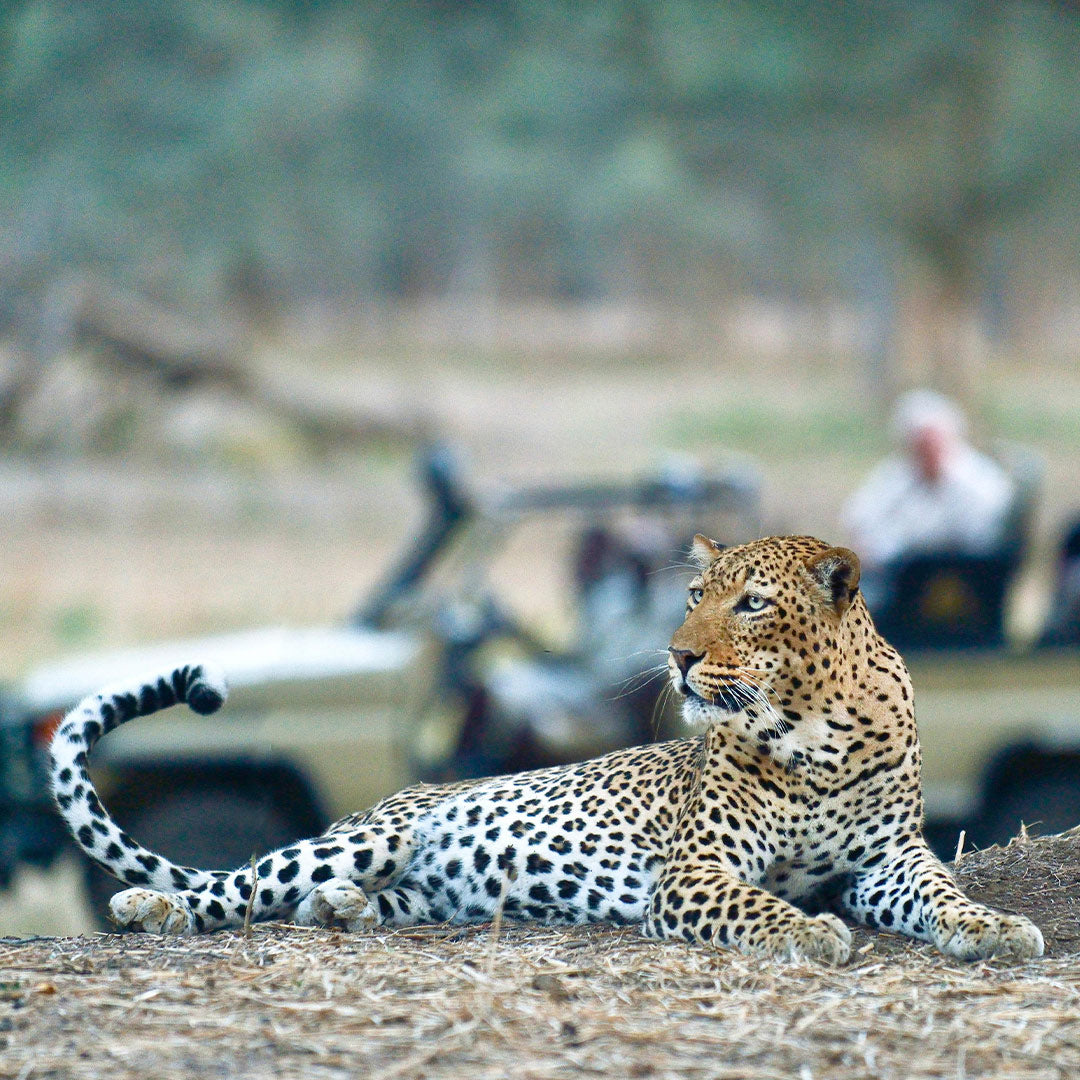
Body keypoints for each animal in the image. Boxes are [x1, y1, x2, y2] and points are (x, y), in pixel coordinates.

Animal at [50, 534, 1043, 963]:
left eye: (753, 602)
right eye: (694, 594)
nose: (678, 655)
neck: (817, 728)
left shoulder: (887, 860)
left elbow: (942, 893)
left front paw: (995, 927)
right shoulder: (697, 872)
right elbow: (757, 904)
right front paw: (806, 931)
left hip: (421, 886)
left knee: (328, 902)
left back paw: (341, 912)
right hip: (369, 834)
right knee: (238, 885)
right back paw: (154, 909)